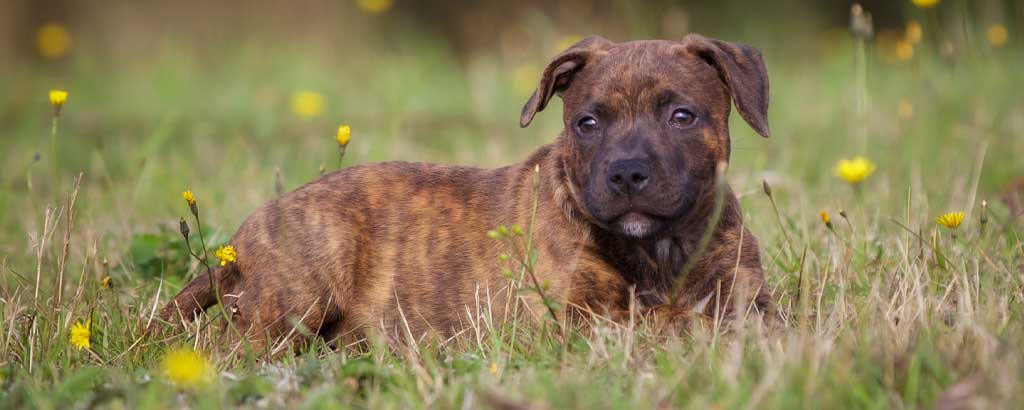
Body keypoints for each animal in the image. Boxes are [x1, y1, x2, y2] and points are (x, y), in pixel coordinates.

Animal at [161, 34, 774, 348]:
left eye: (681, 116)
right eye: (587, 124)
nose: (625, 174)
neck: (658, 249)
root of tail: (237, 245)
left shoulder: (751, 300)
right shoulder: (567, 323)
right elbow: (657, 322)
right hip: (307, 278)